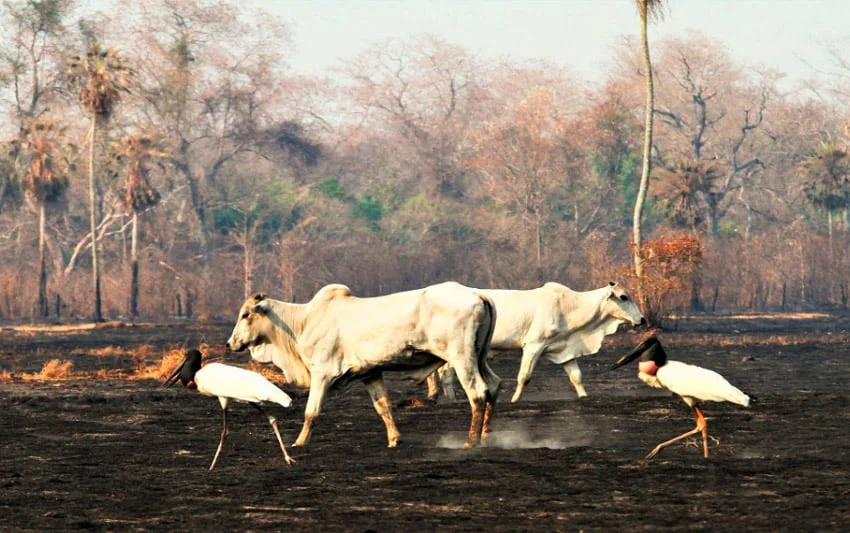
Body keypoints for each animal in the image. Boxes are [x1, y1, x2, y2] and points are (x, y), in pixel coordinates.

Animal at [229, 282, 500, 448]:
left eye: (246, 314)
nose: (231, 342)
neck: (303, 322)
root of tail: (478, 294)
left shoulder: (322, 373)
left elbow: (311, 411)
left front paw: (299, 441)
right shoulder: (371, 373)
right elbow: (383, 407)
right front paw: (394, 439)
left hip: (462, 358)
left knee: (478, 392)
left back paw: (472, 440)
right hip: (479, 356)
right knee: (494, 385)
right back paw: (486, 434)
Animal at [428, 282, 640, 400]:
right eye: (624, 297)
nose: (642, 319)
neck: (568, 306)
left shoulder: (564, 349)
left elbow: (576, 376)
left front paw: (584, 397)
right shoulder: (533, 345)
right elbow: (524, 376)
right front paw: (514, 400)